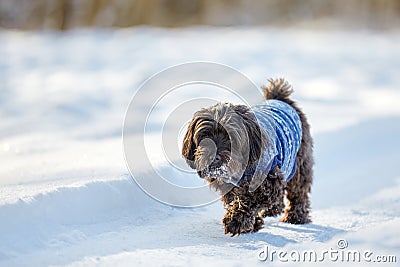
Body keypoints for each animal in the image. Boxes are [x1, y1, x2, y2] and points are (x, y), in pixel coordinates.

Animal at [182, 79, 316, 237]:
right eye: (205, 136)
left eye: (231, 136)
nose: (213, 156)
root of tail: (280, 99)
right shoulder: (228, 186)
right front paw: (253, 224)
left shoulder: (268, 181)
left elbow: (250, 200)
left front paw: (236, 221)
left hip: (299, 162)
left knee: (298, 192)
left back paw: (295, 217)